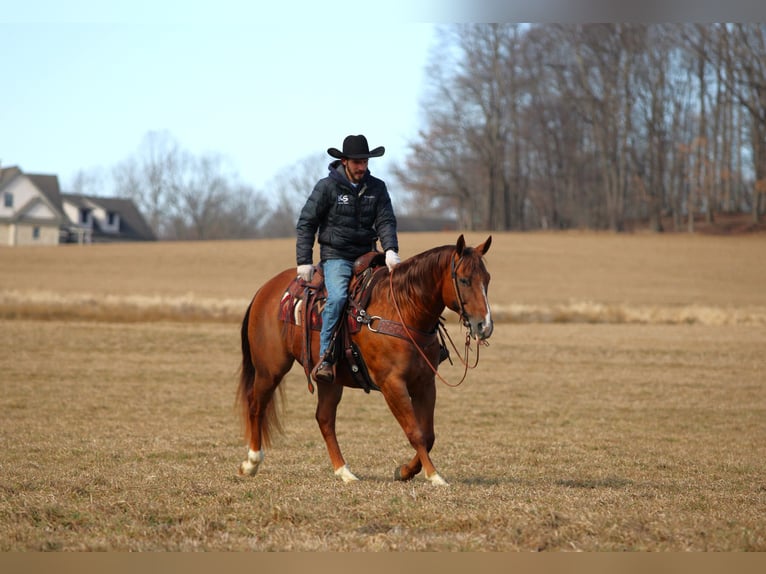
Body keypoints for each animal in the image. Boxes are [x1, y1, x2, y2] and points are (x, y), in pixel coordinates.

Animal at [236, 235, 493, 485]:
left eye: (487, 279)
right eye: (464, 280)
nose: (485, 326)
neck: (402, 310)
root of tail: (265, 290)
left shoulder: (425, 382)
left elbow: (428, 435)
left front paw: (405, 471)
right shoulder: (392, 384)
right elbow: (415, 432)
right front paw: (434, 476)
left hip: (330, 380)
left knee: (324, 418)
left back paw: (344, 472)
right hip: (270, 369)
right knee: (256, 405)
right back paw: (251, 463)